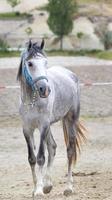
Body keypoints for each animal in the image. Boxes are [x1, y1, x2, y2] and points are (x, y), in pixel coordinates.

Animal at [17, 39, 86, 198]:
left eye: (45, 62)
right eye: (30, 63)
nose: (45, 90)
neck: (32, 100)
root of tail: (70, 74)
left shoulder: (43, 126)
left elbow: (41, 157)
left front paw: (39, 191)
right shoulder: (27, 129)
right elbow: (32, 158)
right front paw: (37, 188)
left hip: (69, 119)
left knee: (70, 150)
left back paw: (68, 188)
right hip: (49, 126)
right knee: (52, 147)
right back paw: (48, 185)